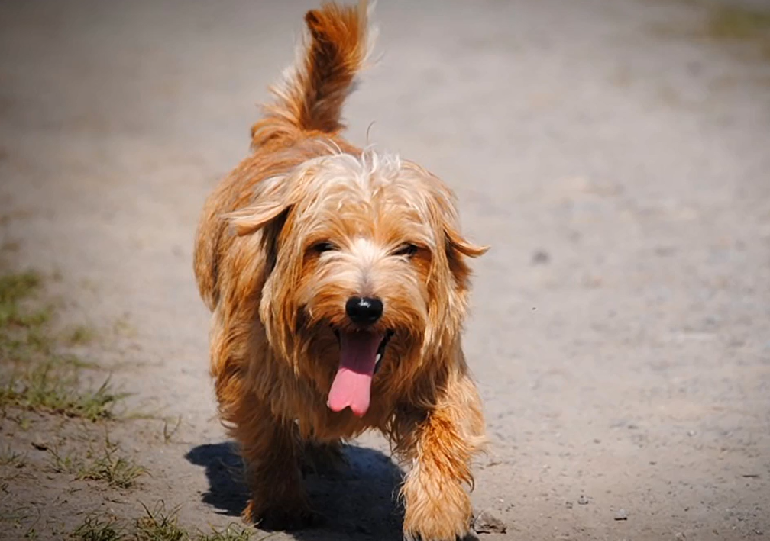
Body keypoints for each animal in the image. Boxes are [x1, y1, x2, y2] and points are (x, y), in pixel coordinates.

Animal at [194, 2, 486, 536]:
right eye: (323, 246)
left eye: (408, 249)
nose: (365, 306)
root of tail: (305, 131)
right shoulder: (246, 371)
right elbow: (268, 436)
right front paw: (281, 503)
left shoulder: (436, 374)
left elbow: (444, 436)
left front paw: (437, 514)